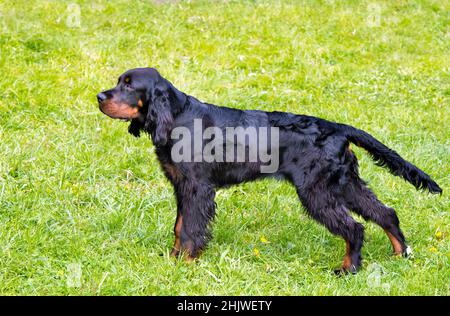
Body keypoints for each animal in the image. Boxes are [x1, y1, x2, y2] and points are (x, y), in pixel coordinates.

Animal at [97, 67, 440, 274]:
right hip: (343, 183)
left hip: (317, 191)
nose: (99, 96)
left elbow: (191, 228)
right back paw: (400, 255)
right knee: (385, 213)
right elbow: (180, 226)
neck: (178, 117)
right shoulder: (182, 186)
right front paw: (174, 258)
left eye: (129, 85)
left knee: (355, 228)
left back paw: (347, 269)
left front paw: (187, 262)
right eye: (118, 81)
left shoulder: (197, 188)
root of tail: (339, 128)